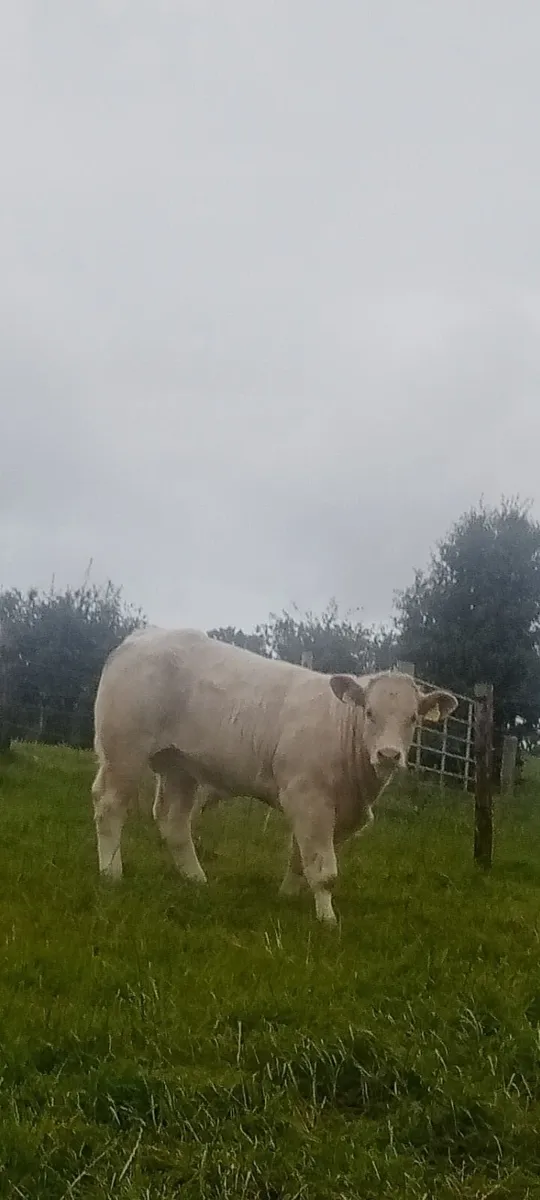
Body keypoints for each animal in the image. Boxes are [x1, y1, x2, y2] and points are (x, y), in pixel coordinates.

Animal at [91, 627, 457, 923]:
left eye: (413, 719)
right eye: (369, 712)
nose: (389, 755)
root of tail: (144, 634)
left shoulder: (328, 810)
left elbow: (300, 857)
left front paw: (287, 896)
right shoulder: (308, 798)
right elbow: (324, 869)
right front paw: (327, 920)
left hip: (179, 765)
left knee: (173, 821)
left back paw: (196, 880)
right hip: (124, 750)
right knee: (110, 806)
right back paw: (111, 874)